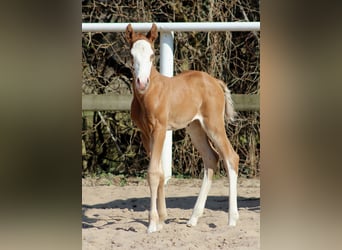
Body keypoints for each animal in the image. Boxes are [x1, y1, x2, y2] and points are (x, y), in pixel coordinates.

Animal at [125, 23, 240, 232]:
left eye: (152, 55)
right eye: (131, 55)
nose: (142, 82)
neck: (148, 94)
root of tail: (215, 82)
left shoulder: (160, 129)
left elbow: (153, 173)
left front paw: (152, 224)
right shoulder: (145, 133)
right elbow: (160, 172)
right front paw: (161, 219)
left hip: (213, 124)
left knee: (230, 157)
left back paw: (232, 219)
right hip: (195, 127)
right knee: (211, 158)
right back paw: (193, 218)